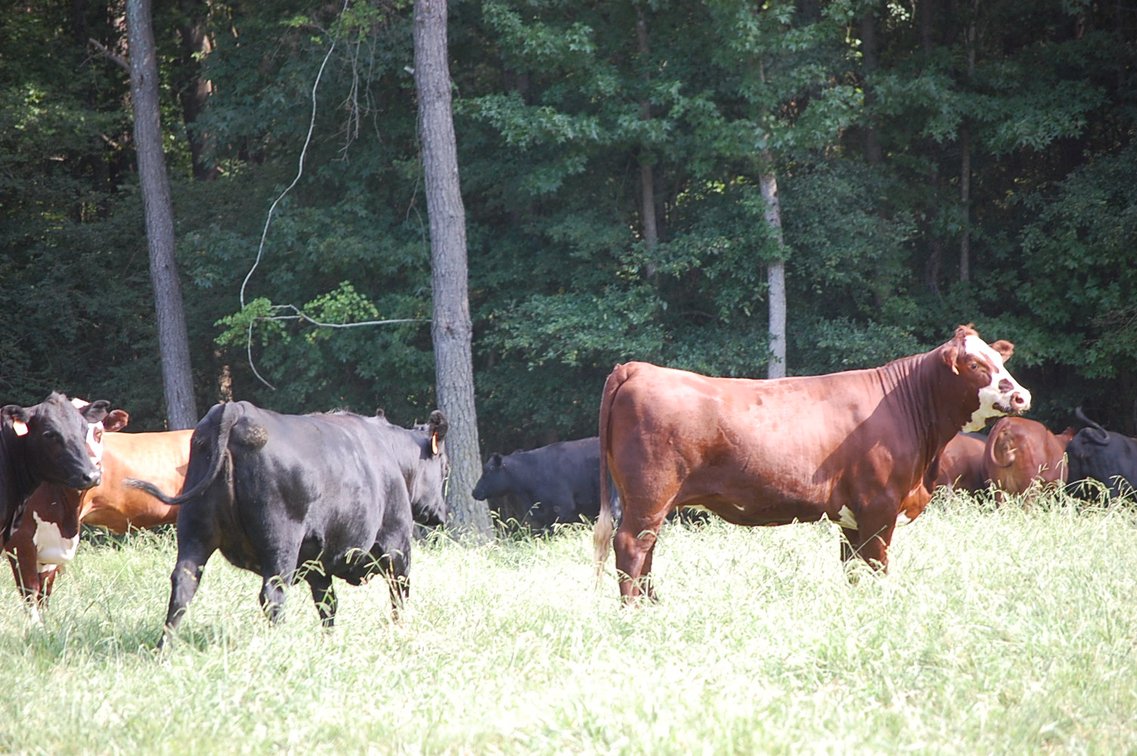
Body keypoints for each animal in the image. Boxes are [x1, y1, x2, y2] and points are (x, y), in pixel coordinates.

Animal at [128, 401, 449, 641]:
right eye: (445, 468)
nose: (442, 514)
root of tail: (236, 409)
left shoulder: (317, 563)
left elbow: (328, 605)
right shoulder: (397, 546)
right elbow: (399, 597)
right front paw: (401, 632)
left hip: (194, 531)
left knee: (183, 585)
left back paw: (164, 650)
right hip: (280, 541)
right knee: (273, 594)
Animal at [593, 325, 1031, 601]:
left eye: (1000, 361)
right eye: (975, 365)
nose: (1022, 395)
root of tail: (637, 368)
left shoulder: (852, 516)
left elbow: (853, 569)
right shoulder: (879, 507)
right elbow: (877, 565)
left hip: (647, 500)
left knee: (646, 549)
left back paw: (652, 605)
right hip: (651, 493)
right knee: (631, 545)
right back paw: (633, 611)